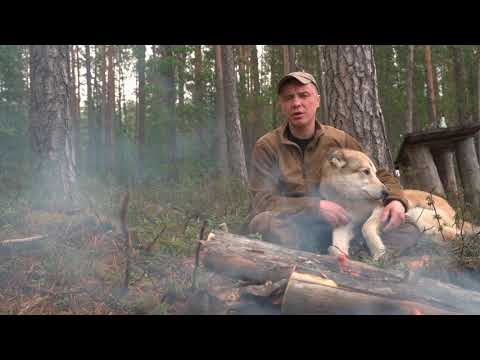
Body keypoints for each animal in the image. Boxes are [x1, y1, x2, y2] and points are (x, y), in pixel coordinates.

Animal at [318, 148, 476, 260]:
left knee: (457, 234)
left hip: (417, 214)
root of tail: (453, 211)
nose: (386, 192)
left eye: (375, 172)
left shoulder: (381, 209)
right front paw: (339, 253)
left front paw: (378, 251)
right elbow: (335, 245)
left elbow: (366, 227)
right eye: (366, 171)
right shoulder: (344, 224)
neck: (352, 200)